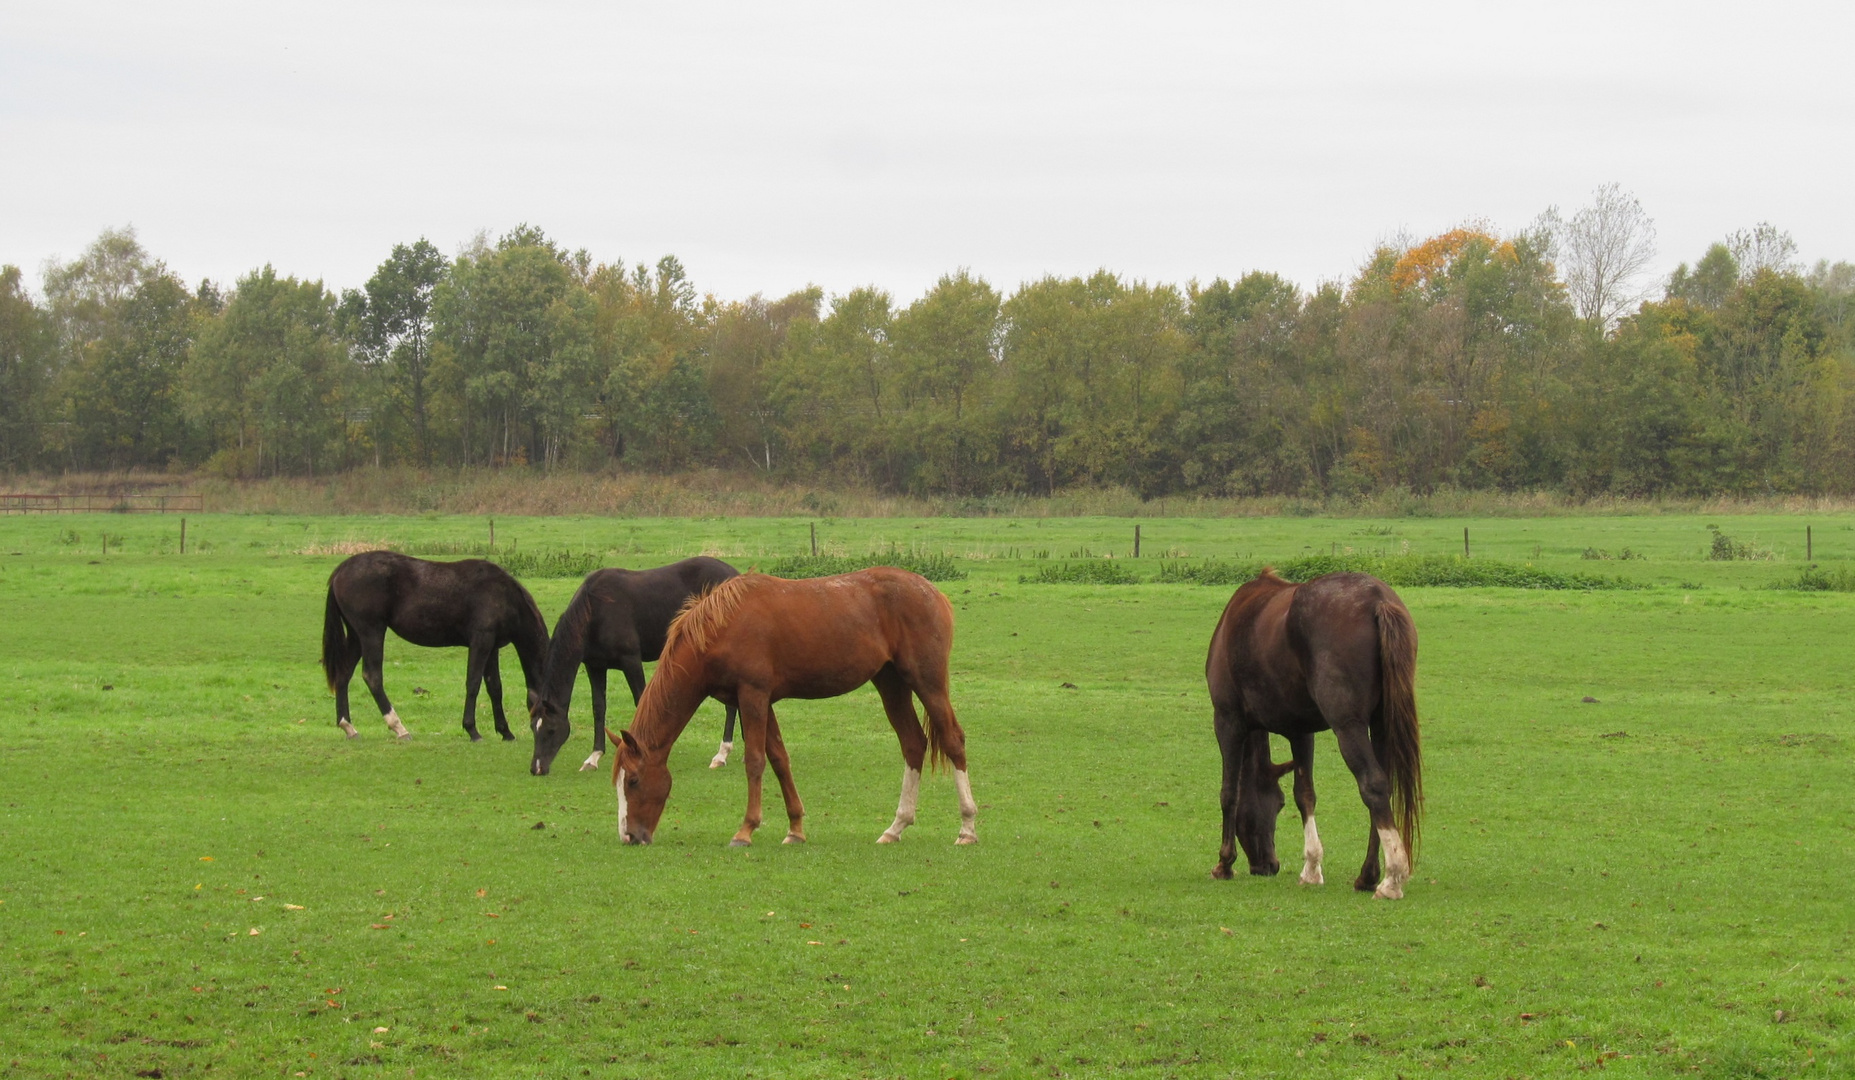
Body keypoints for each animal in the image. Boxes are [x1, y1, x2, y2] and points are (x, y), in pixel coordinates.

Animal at [319, 560, 545, 745]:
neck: (505, 595)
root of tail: (341, 570)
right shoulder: (480, 642)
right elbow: (473, 684)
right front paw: (472, 730)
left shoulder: (492, 647)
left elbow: (495, 688)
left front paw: (506, 732)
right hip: (371, 632)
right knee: (372, 677)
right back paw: (399, 728)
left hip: (356, 636)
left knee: (344, 675)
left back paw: (349, 727)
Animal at [526, 560, 742, 779]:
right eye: (533, 728)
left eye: (551, 729)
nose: (537, 768)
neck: (596, 610)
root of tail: (734, 574)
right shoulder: (595, 666)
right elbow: (598, 707)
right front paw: (594, 757)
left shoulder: (630, 661)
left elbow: (641, 701)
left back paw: (722, 754)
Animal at [612, 571, 986, 849]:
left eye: (633, 780)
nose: (630, 836)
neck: (721, 626)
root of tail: (933, 593)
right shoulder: (758, 700)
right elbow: (779, 759)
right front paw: (795, 829)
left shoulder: (753, 695)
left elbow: (755, 761)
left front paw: (745, 830)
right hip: (891, 683)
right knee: (913, 744)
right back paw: (896, 827)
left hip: (927, 682)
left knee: (953, 740)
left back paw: (967, 828)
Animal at [1202, 571, 1417, 901]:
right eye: (1278, 804)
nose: (1269, 865)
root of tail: (1377, 599)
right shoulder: (1300, 732)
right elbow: (1305, 795)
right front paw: (1312, 869)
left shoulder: (1228, 721)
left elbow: (1229, 793)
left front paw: (1224, 863)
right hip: (1381, 724)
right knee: (1384, 788)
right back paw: (1367, 876)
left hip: (1349, 727)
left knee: (1374, 785)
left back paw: (1392, 878)